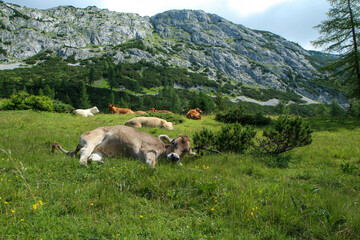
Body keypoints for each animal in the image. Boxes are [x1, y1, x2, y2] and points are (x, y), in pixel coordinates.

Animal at [51, 124, 194, 168]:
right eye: (174, 142)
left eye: (186, 150)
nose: (174, 156)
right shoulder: (148, 149)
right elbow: (152, 164)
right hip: (92, 139)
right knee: (84, 154)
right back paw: (85, 164)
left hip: (100, 150)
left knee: (93, 157)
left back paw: (101, 163)